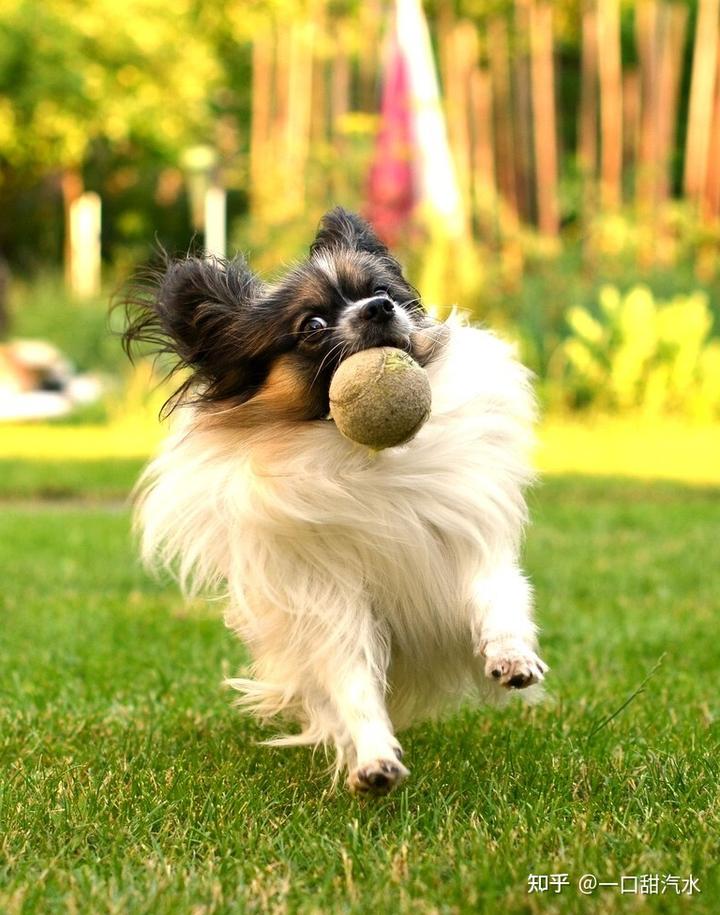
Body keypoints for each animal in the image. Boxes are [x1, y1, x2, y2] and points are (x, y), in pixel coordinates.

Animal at [124, 208, 548, 796]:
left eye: (380, 291)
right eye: (312, 326)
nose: (380, 308)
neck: (365, 457)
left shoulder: (467, 549)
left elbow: (498, 602)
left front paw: (512, 658)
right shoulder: (328, 602)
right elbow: (353, 685)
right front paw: (373, 758)